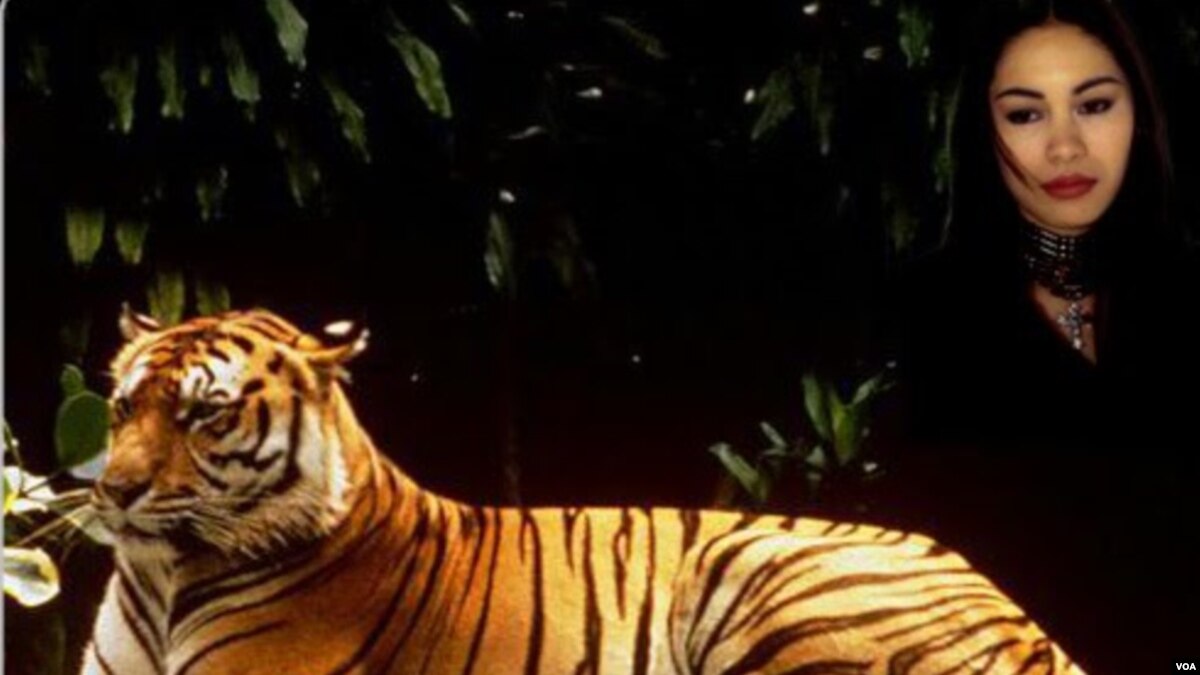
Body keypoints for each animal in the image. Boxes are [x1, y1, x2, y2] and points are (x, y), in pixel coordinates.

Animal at [82, 306, 1085, 675]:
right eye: (124, 407)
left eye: (205, 415)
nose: (116, 492)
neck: (163, 580)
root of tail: (1020, 612)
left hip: (759, 573)